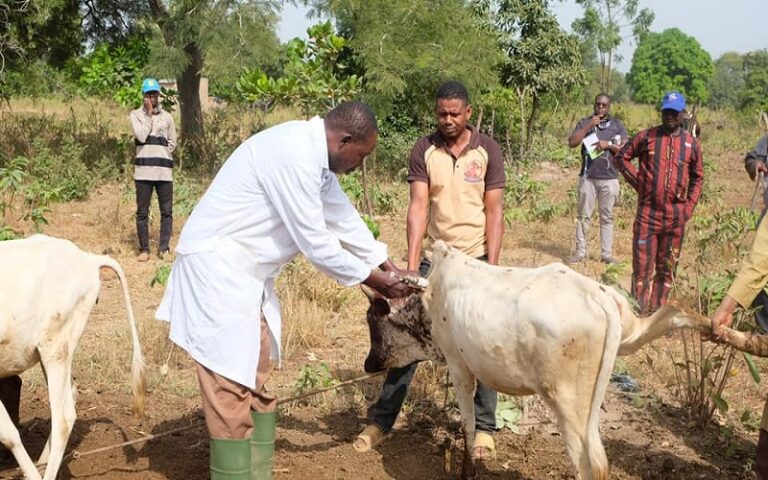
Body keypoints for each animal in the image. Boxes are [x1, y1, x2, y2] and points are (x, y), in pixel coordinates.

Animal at [0, 235, 146, 480]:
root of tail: (87, 259)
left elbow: (7, 433)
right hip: (55, 352)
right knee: (70, 399)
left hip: (55, 349)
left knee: (63, 419)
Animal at [364, 240, 712, 480]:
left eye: (372, 320)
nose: (369, 365)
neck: (428, 299)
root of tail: (597, 296)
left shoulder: (458, 364)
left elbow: (467, 424)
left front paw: (467, 471)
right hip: (628, 333)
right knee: (672, 311)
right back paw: (714, 328)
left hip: (568, 404)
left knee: (588, 463)